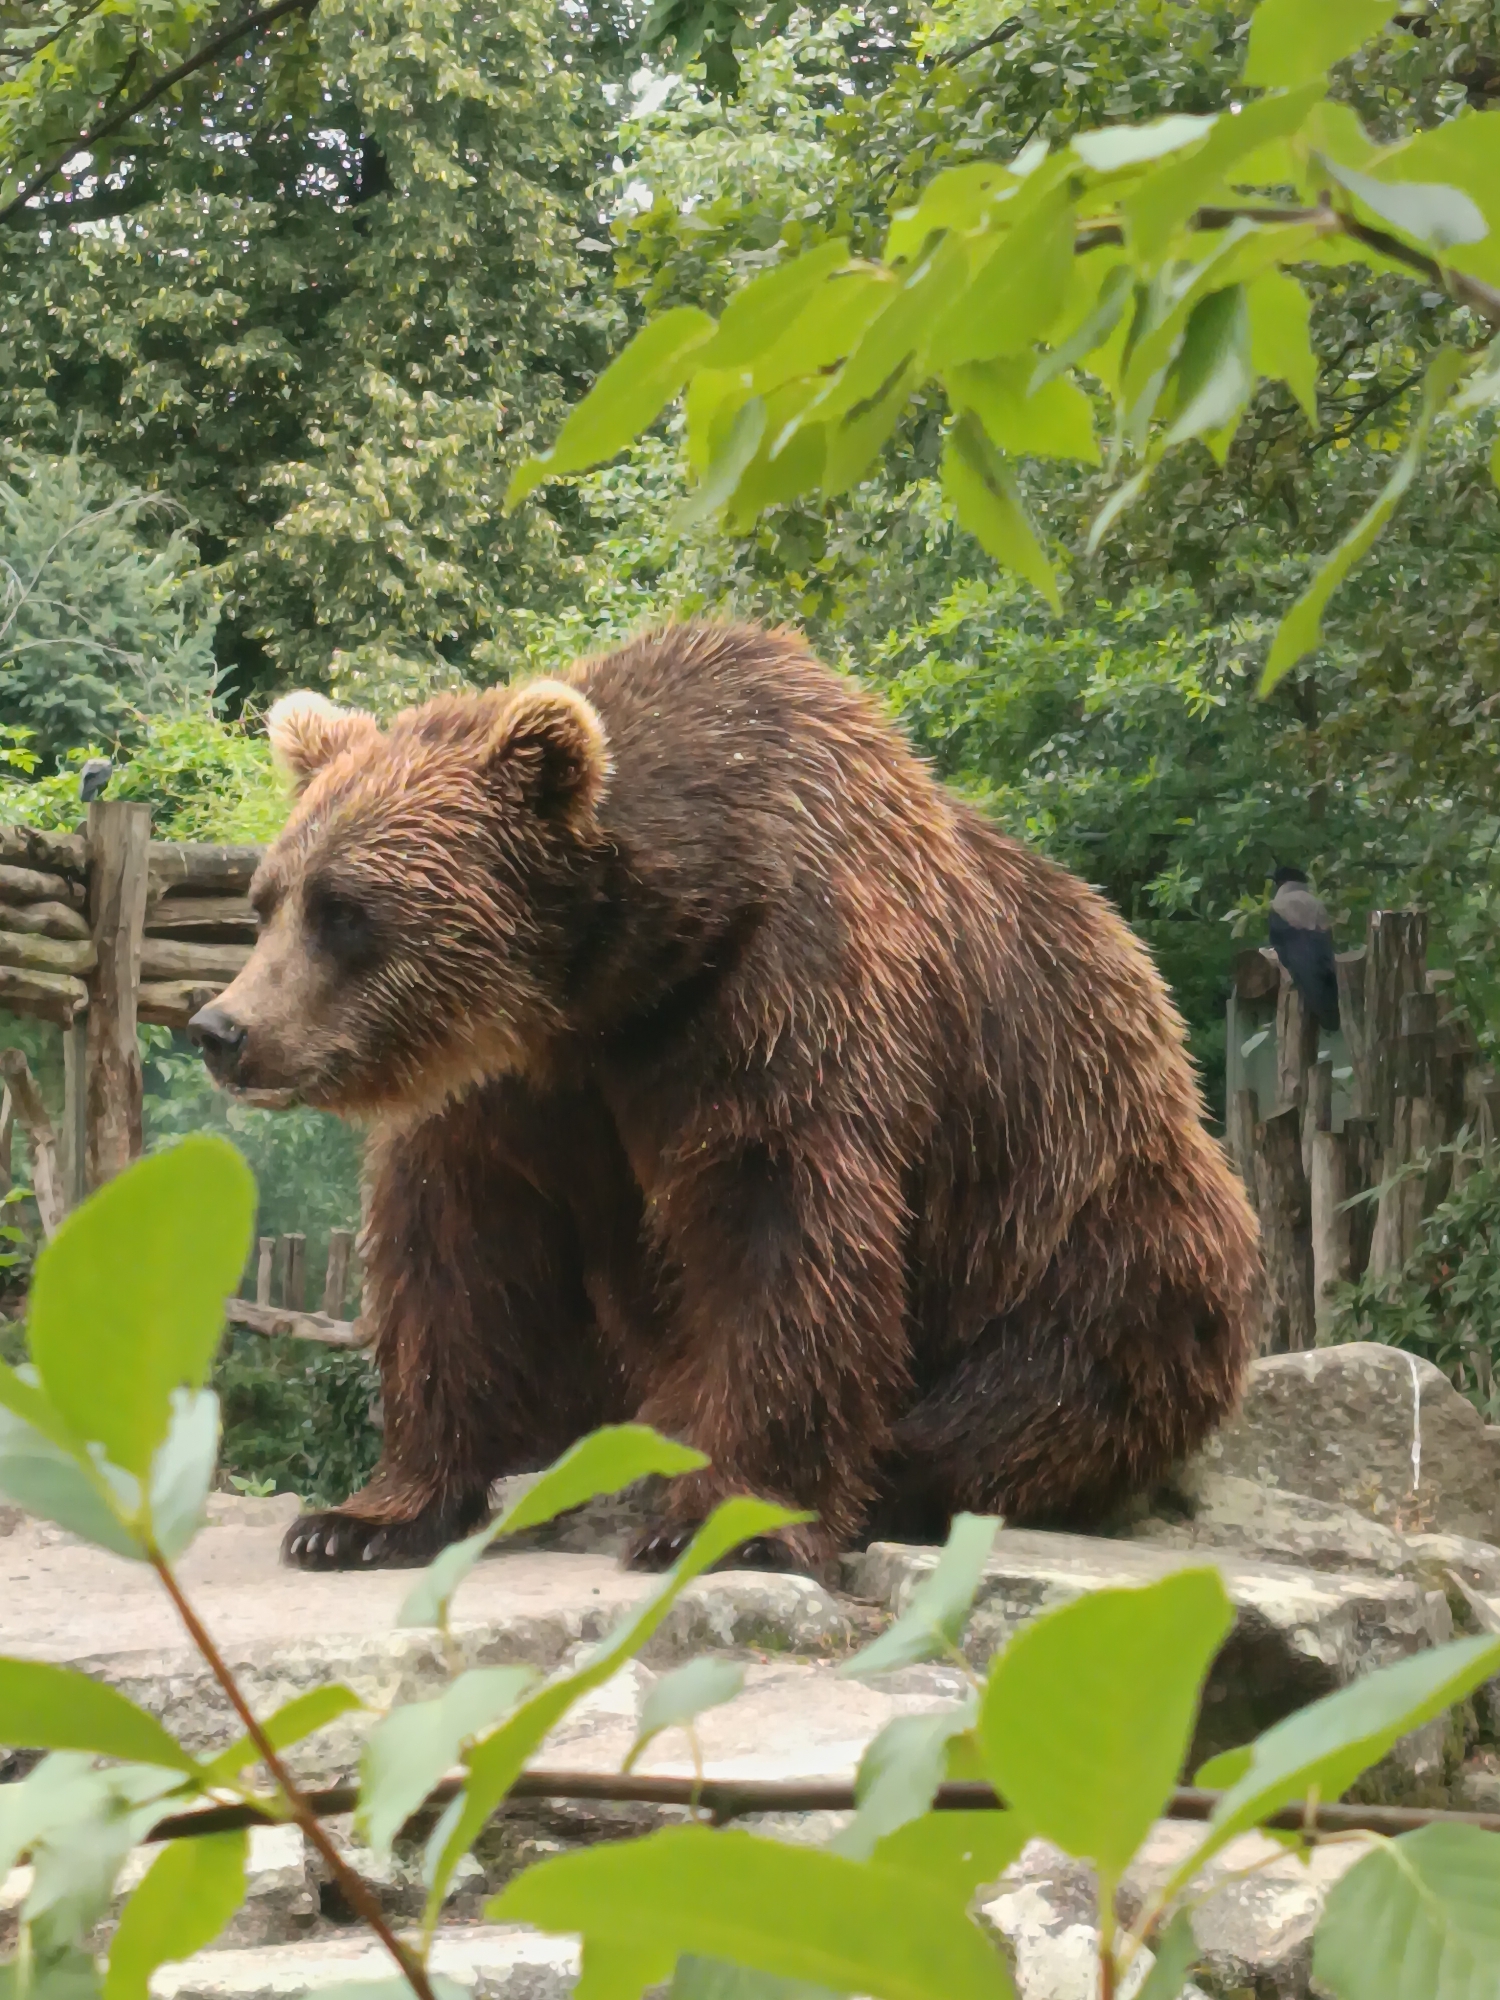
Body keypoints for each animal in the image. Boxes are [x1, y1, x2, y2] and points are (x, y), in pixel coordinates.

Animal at [190, 620, 1262, 1574]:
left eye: (344, 911)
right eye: (268, 901)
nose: (222, 1029)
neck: (608, 987)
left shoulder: (783, 1002)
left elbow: (781, 1236)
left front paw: (727, 1524)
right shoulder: (511, 1093)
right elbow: (459, 1257)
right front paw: (359, 1519)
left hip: (1086, 1204)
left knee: (1055, 1370)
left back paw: (903, 1477)